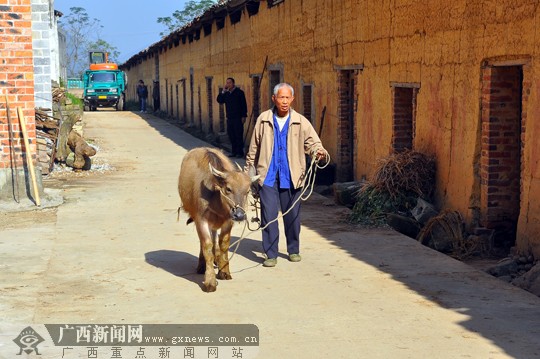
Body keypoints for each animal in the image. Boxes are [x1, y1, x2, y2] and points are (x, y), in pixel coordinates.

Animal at [177, 148, 258, 292]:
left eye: (248, 191)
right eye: (228, 189)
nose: (239, 215)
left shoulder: (228, 221)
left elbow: (224, 243)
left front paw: (224, 271)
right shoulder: (201, 221)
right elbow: (207, 246)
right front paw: (210, 281)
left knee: (215, 236)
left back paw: (217, 258)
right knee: (205, 241)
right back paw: (202, 265)